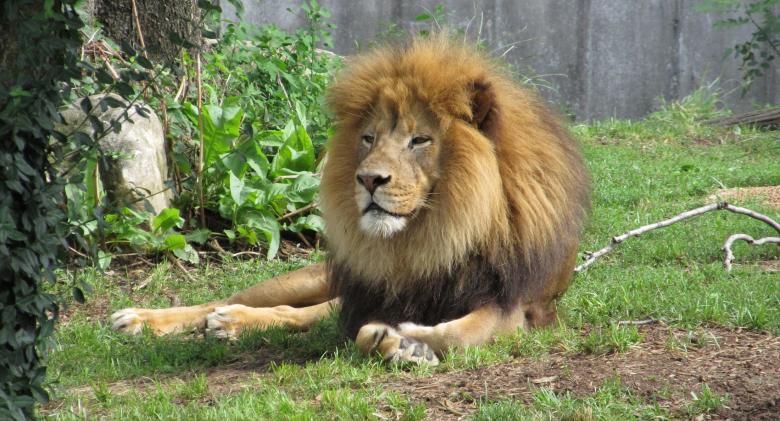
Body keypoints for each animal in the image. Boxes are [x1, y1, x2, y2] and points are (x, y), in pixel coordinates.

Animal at [111, 34, 590, 365]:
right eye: (368, 138)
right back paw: (150, 319)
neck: (438, 230)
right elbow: (369, 326)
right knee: (237, 300)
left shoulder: (517, 305)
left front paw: (408, 344)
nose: (369, 179)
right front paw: (398, 340)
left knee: (298, 313)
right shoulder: (373, 297)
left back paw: (230, 323)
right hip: (307, 279)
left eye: (420, 140)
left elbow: (453, 333)